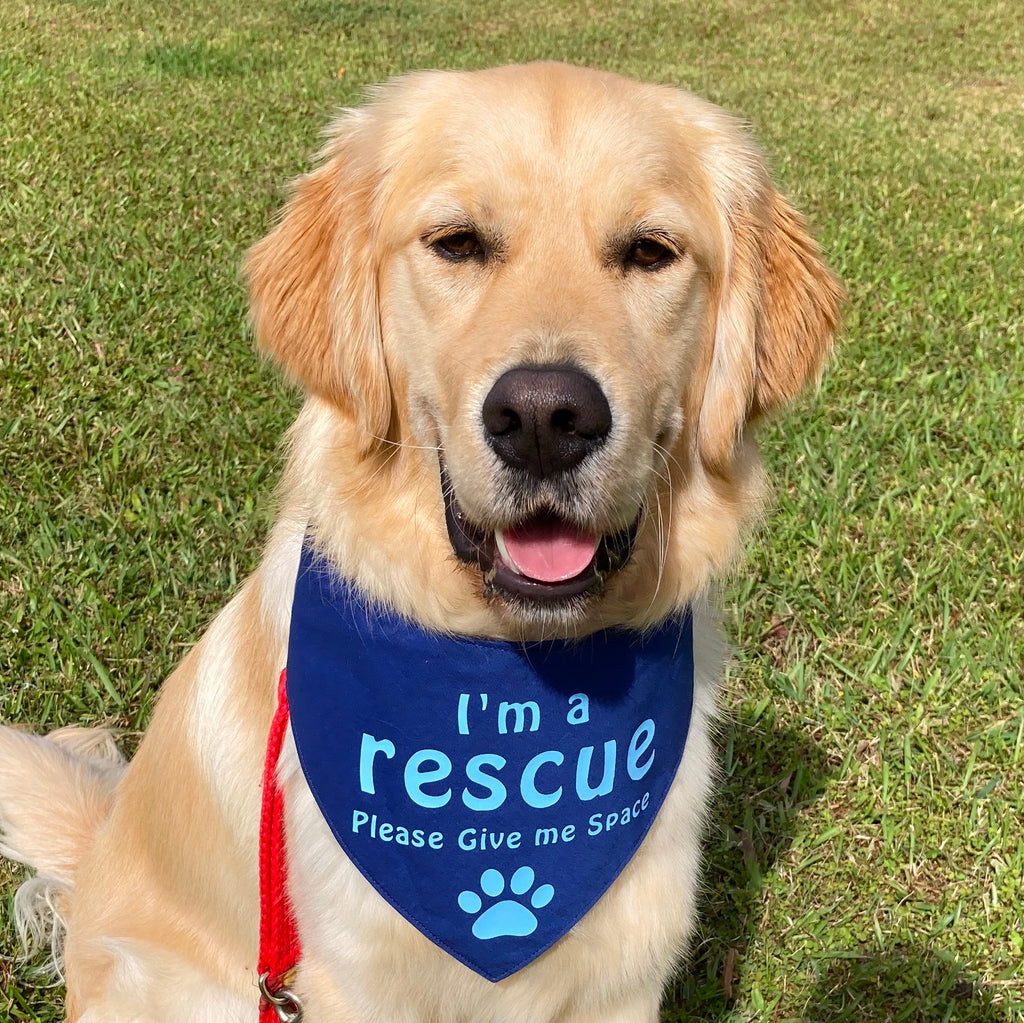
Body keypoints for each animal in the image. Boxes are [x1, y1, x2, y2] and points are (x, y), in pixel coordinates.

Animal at [0, 64, 839, 1023]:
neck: (509, 670)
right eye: (458, 243)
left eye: (650, 252)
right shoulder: (355, 973)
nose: (545, 418)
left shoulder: (626, 967)